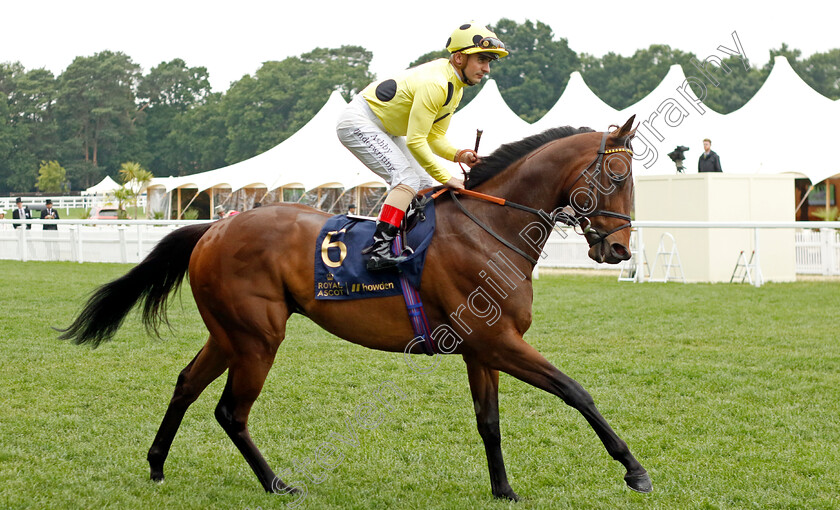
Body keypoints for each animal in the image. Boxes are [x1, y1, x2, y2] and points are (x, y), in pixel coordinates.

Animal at [60, 114, 648, 498]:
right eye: (618, 177)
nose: (619, 250)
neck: (491, 229)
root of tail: (215, 226)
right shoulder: (499, 342)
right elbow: (576, 392)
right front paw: (634, 470)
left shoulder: (482, 349)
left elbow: (489, 421)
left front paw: (503, 490)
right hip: (257, 338)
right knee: (231, 410)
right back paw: (277, 483)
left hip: (229, 334)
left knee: (186, 384)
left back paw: (158, 465)